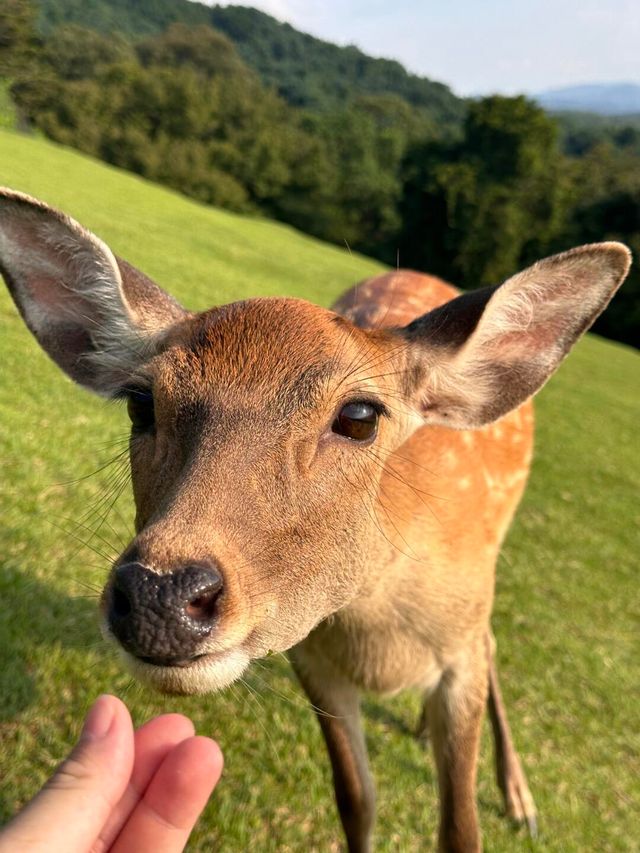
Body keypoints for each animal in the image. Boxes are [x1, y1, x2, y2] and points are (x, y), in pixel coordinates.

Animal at [0, 186, 632, 852]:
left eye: (359, 416)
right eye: (141, 402)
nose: (159, 596)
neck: (379, 634)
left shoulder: (459, 650)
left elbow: (461, 829)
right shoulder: (313, 662)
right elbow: (355, 800)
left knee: (490, 639)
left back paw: (519, 799)